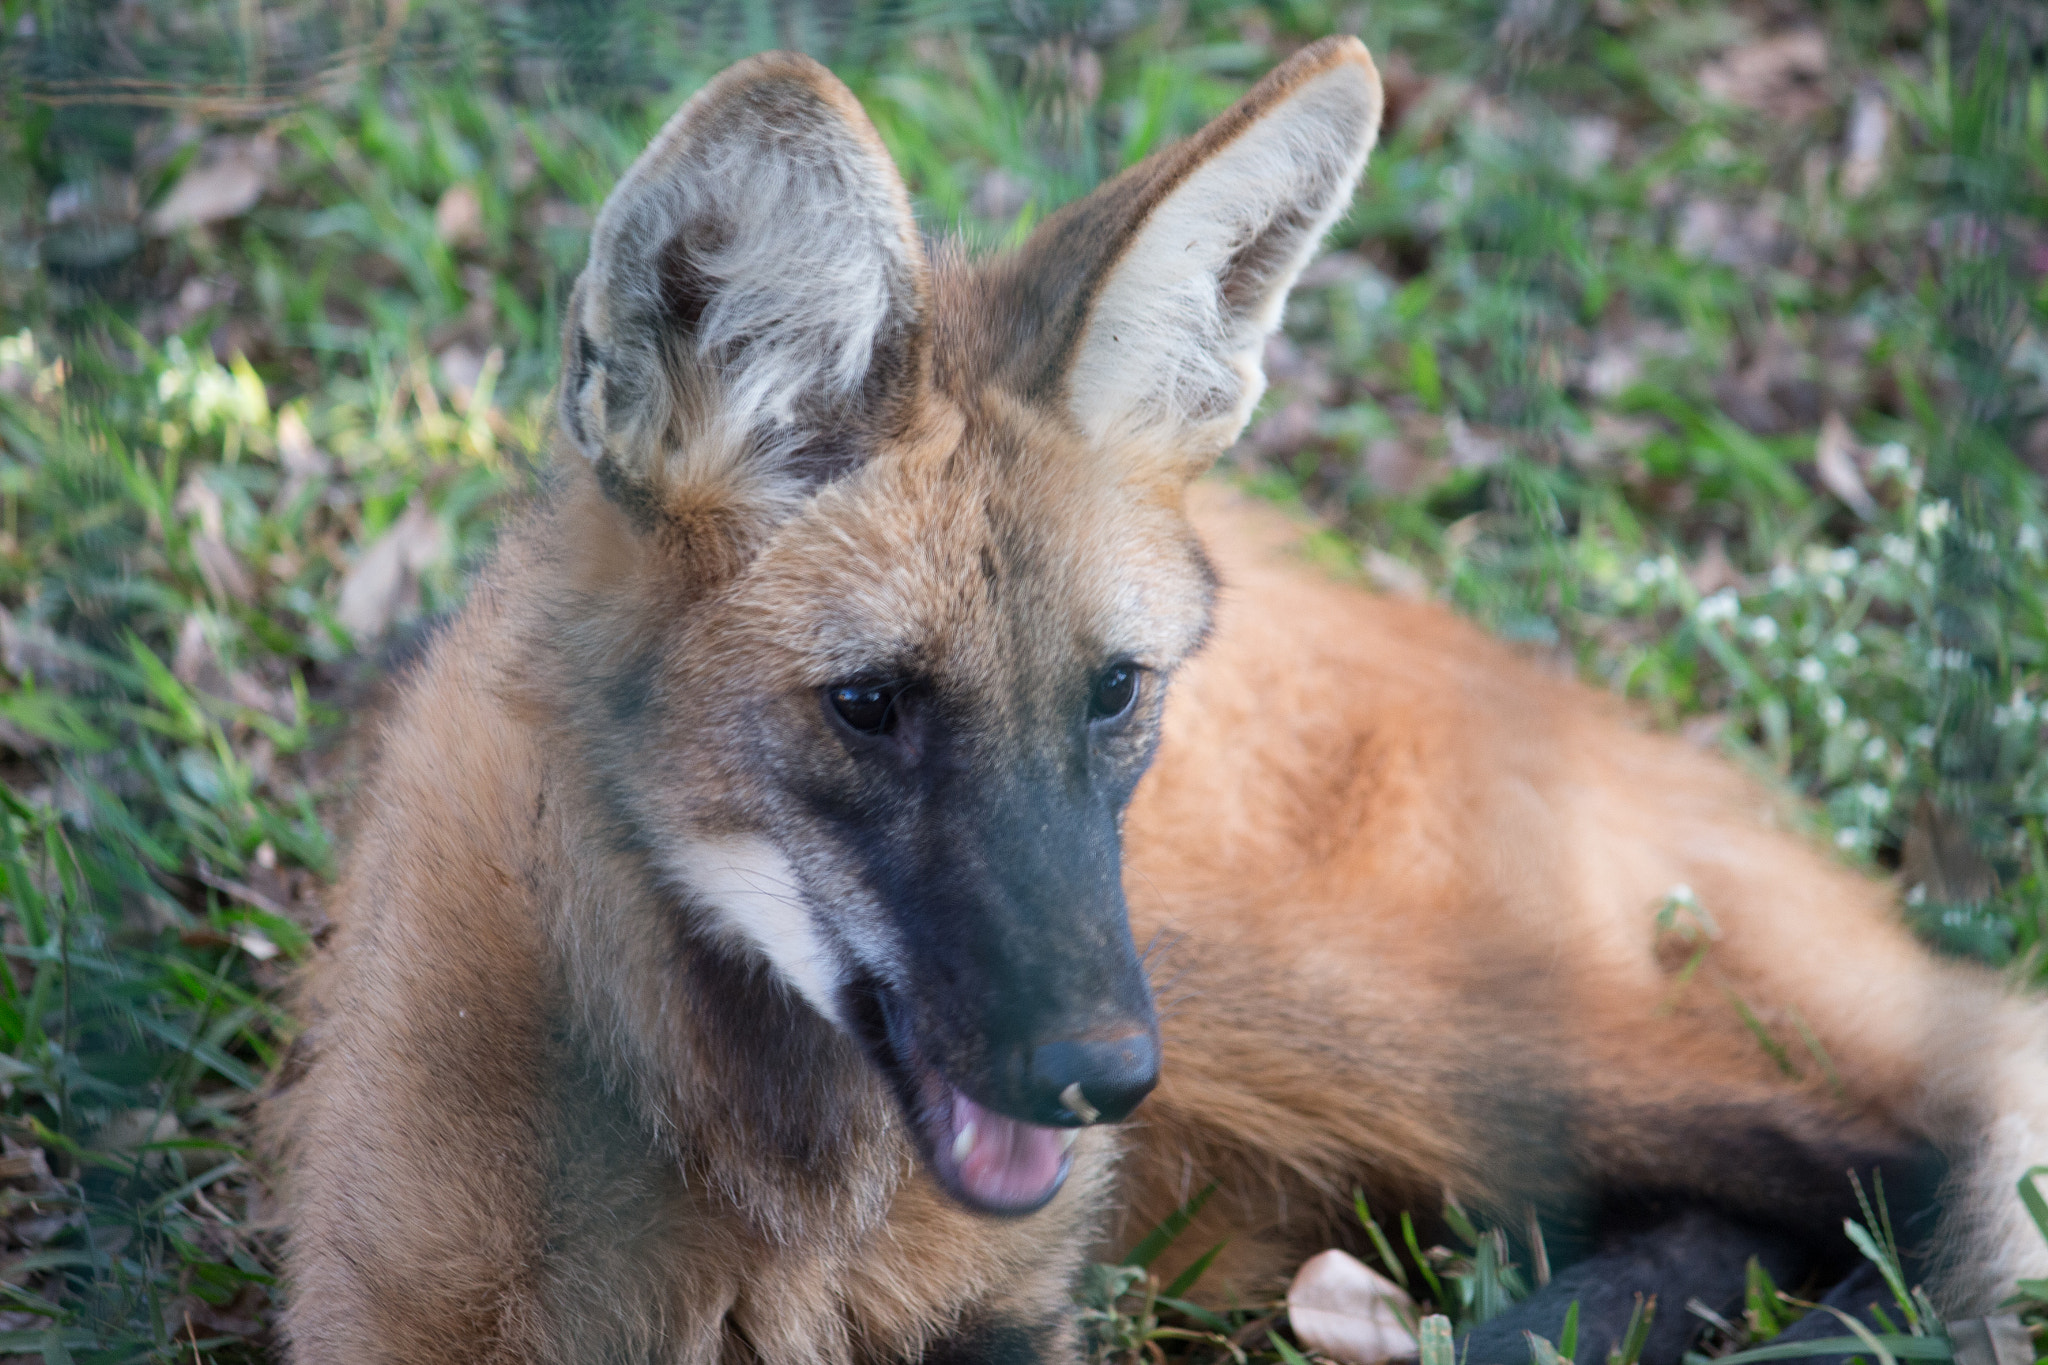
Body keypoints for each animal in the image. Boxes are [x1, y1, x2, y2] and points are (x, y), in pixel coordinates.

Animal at [274, 35, 2048, 1365]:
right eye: (871, 703)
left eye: (1112, 691)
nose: (1096, 1074)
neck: (783, 1203)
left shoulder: (1007, 1306)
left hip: (1295, 988)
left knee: (1954, 1100)